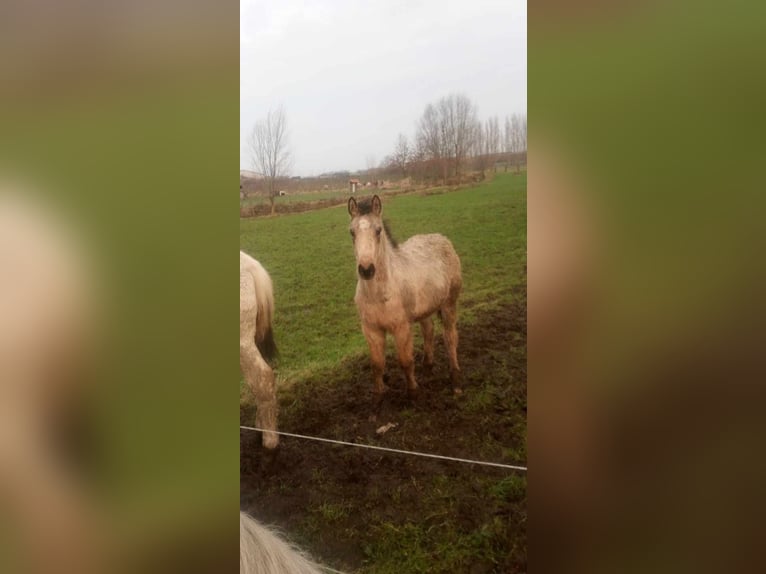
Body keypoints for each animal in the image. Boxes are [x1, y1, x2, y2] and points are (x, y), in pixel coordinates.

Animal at [348, 197, 462, 410]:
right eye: (352, 232)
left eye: (378, 230)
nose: (366, 269)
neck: (380, 293)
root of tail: (442, 238)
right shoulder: (371, 329)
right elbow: (377, 365)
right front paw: (377, 401)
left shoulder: (401, 327)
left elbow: (405, 361)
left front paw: (413, 394)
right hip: (425, 309)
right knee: (428, 330)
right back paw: (427, 368)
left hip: (449, 304)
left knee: (450, 337)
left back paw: (456, 382)